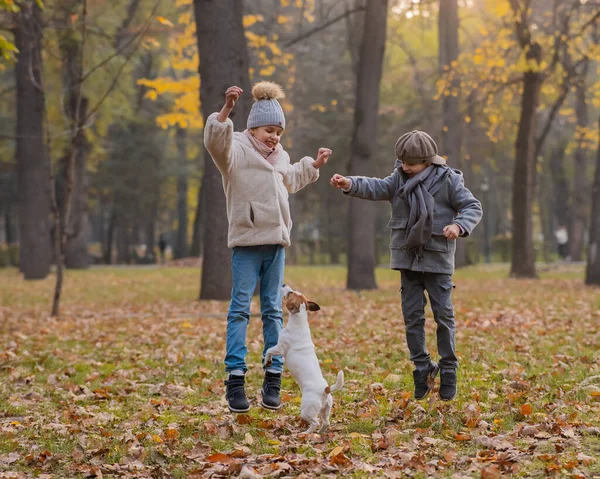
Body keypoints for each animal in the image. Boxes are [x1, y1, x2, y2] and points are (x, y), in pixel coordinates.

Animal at [264, 284, 344, 436]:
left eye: (290, 293)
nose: (283, 284)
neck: (298, 321)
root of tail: (325, 389)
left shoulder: (280, 349)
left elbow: (269, 351)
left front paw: (267, 362)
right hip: (325, 410)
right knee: (326, 422)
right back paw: (319, 434)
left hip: (306, 410)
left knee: (315, 422)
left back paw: (305, 434)